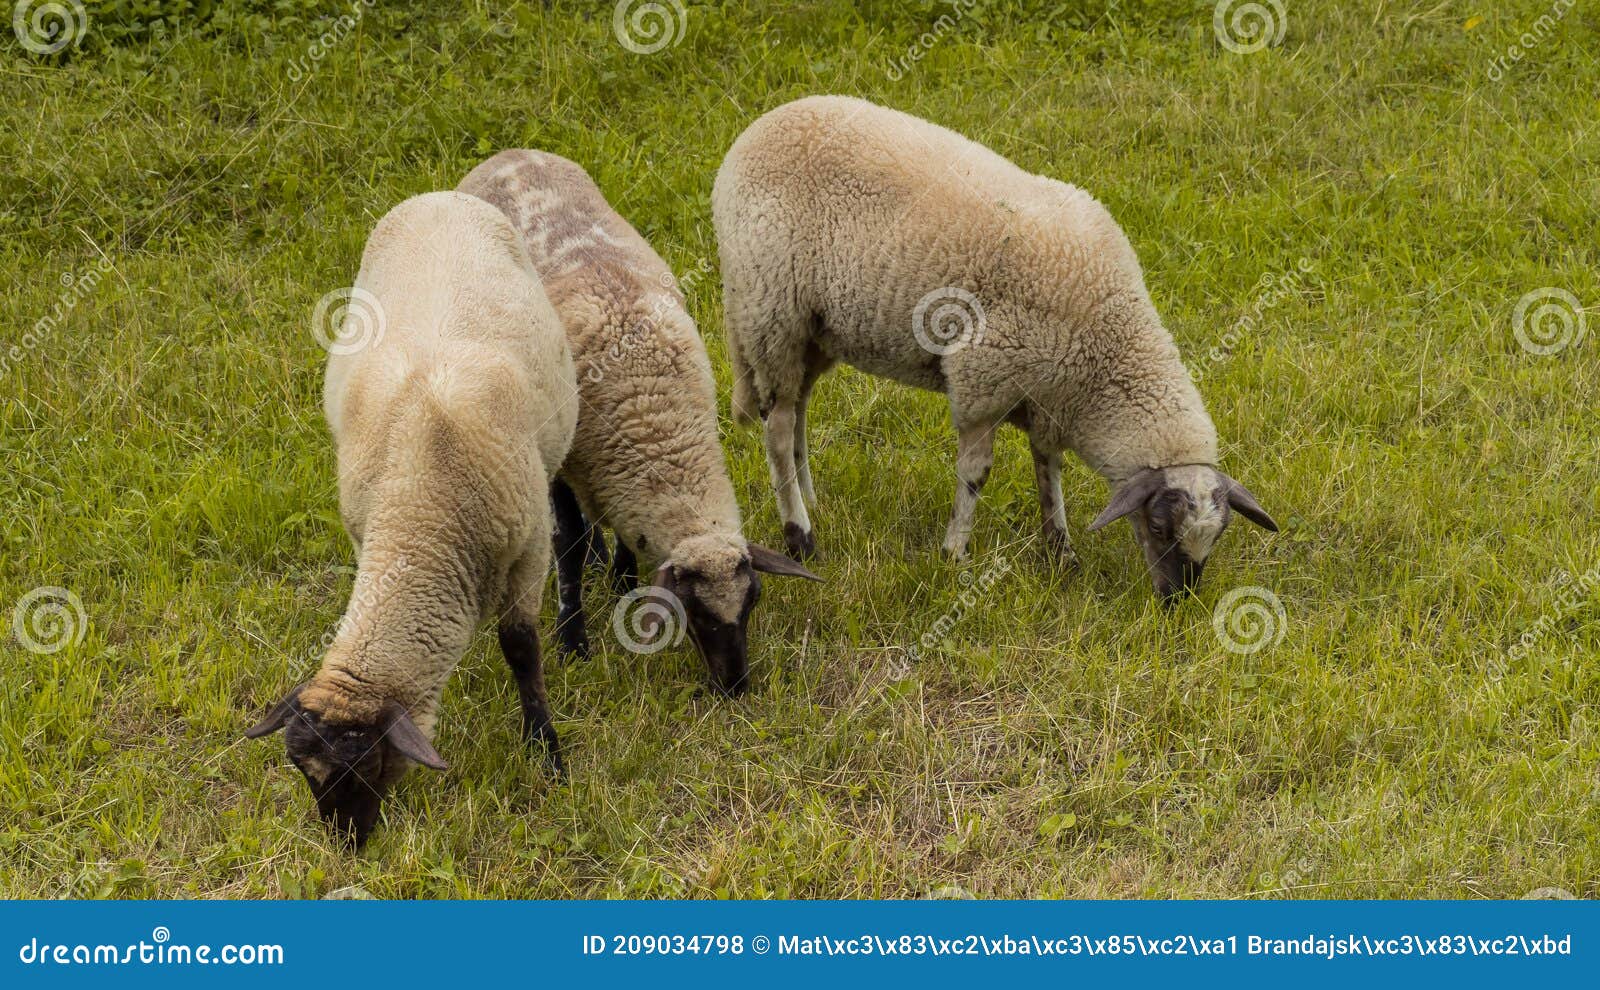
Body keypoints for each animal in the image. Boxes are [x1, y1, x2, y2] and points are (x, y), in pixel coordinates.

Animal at [245, 191, 579, 846]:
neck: (421, 508)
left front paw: (544, 748)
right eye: (301, 768)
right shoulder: (364, 531)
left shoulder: (527, 548)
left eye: (367, 764)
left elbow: (521, 647)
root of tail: (438, 195)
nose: (346, 845)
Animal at [458, 150, 821, 695]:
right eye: (694, 610)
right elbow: (566, 543)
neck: (652, 414)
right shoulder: (567, 456)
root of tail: (510, 155)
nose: (734, 686)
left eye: (752, 600)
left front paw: (622, 582)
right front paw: (572, 641)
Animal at [713, 96, 1277, 601]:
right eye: (1159, 528)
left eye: (1218, 535)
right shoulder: (982, 380)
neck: (1108, 343)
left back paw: (813, 500)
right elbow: (977, 474)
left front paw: (1060, 551)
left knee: (797, 409)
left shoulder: (1049, 395)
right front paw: (954, 553)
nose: (1178, 601)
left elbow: (1048, 468)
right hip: (771, 309)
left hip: (813, 328)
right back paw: (801, 534)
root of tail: (751, 136)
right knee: (777, 430)